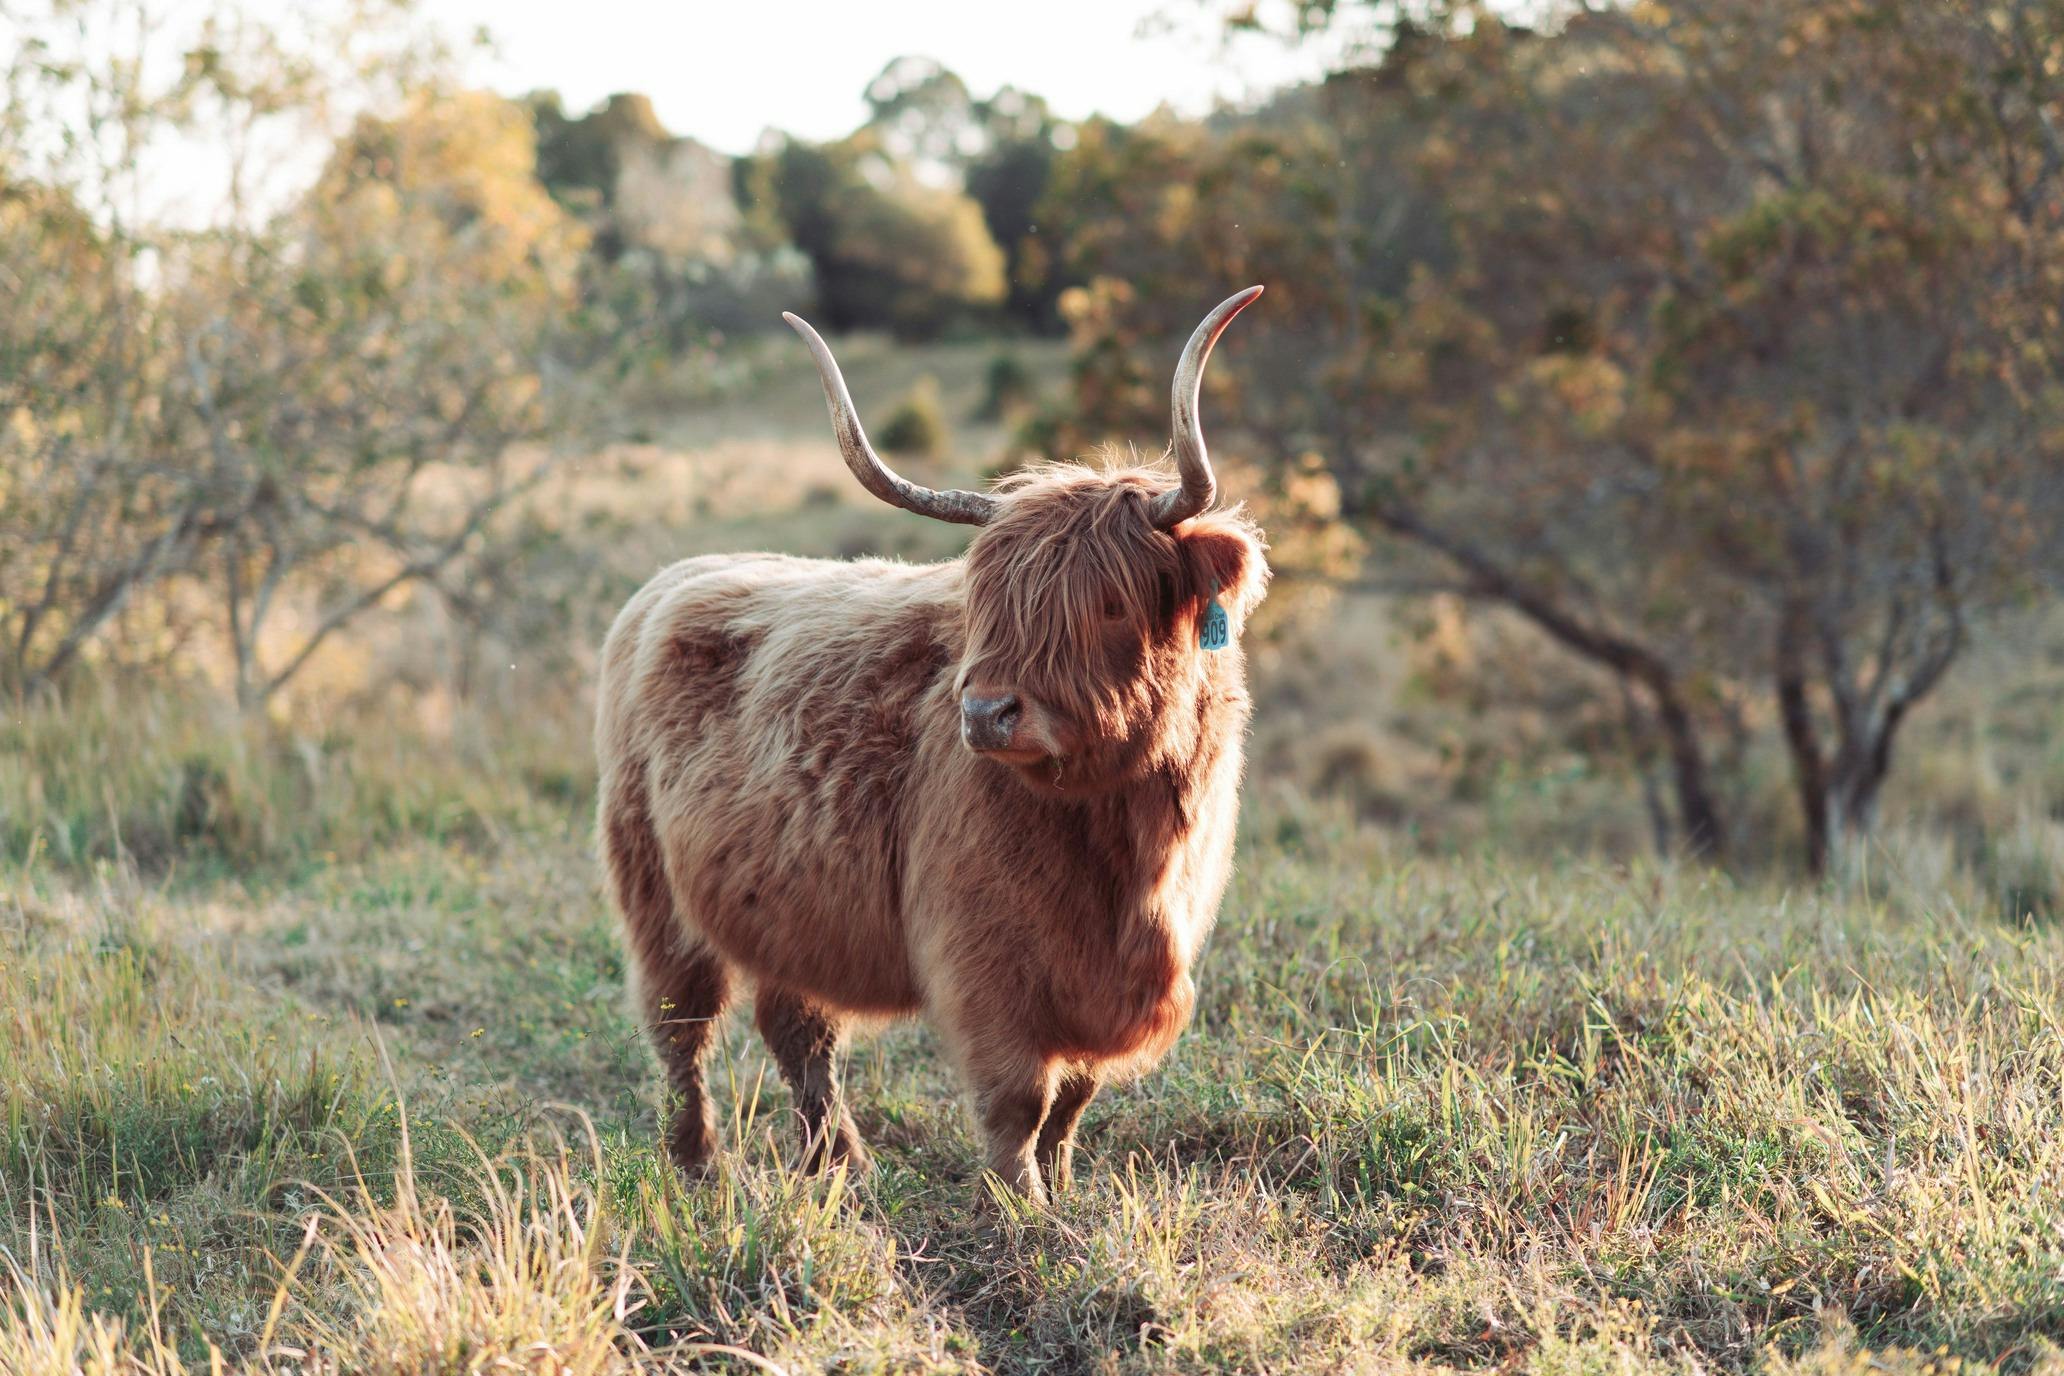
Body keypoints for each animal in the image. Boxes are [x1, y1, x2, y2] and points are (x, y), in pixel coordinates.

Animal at [595, 287, 1269, 1205]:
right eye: (987, 601)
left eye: (1111, 604)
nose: (985, 713)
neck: (1124, 840)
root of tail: (672, 579)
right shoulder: (983, 956)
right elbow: (1019, 1097)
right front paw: (1022, 1208)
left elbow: (1076, 1093)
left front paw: (1062, 1186)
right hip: (656, 894)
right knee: (682, 1027)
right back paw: (702, 1164)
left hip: (785, 899)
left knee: (796, 1026)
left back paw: (839, 1163)